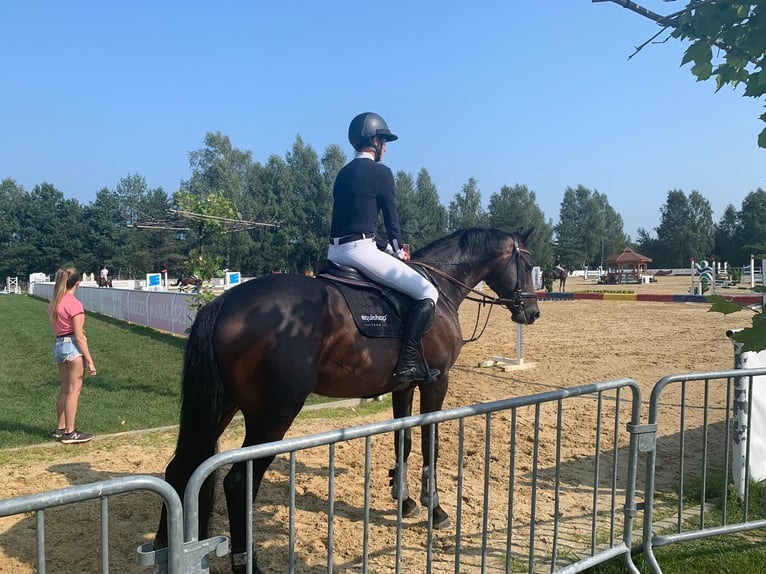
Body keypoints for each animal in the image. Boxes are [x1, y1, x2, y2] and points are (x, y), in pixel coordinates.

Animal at [154, 227, 540, 574]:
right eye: (526, 263)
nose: (532, 313)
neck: (441, 290)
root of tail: (223, 302)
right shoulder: (437, 382)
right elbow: (430, 443)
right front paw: (436, 510)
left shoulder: (404, 387)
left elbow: (403, 441)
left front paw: (405, 502)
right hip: (272, 416)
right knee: (237, 483)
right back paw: (248, 564)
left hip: (222, 408)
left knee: (180, 469)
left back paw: (165, 551)